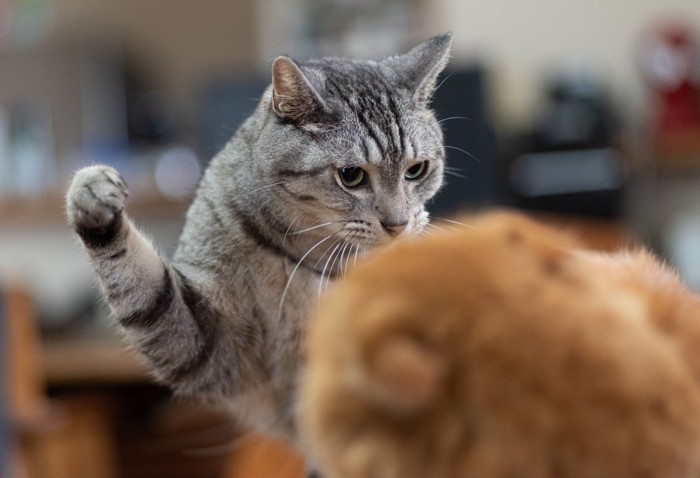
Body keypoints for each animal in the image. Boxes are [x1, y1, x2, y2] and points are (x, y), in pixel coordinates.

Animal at [64, 32, 448, 444]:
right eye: (351, 175)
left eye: (417, 169)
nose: (398, 224)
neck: (294, 254)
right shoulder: (207, 344)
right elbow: (142, 282)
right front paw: (90, 191)